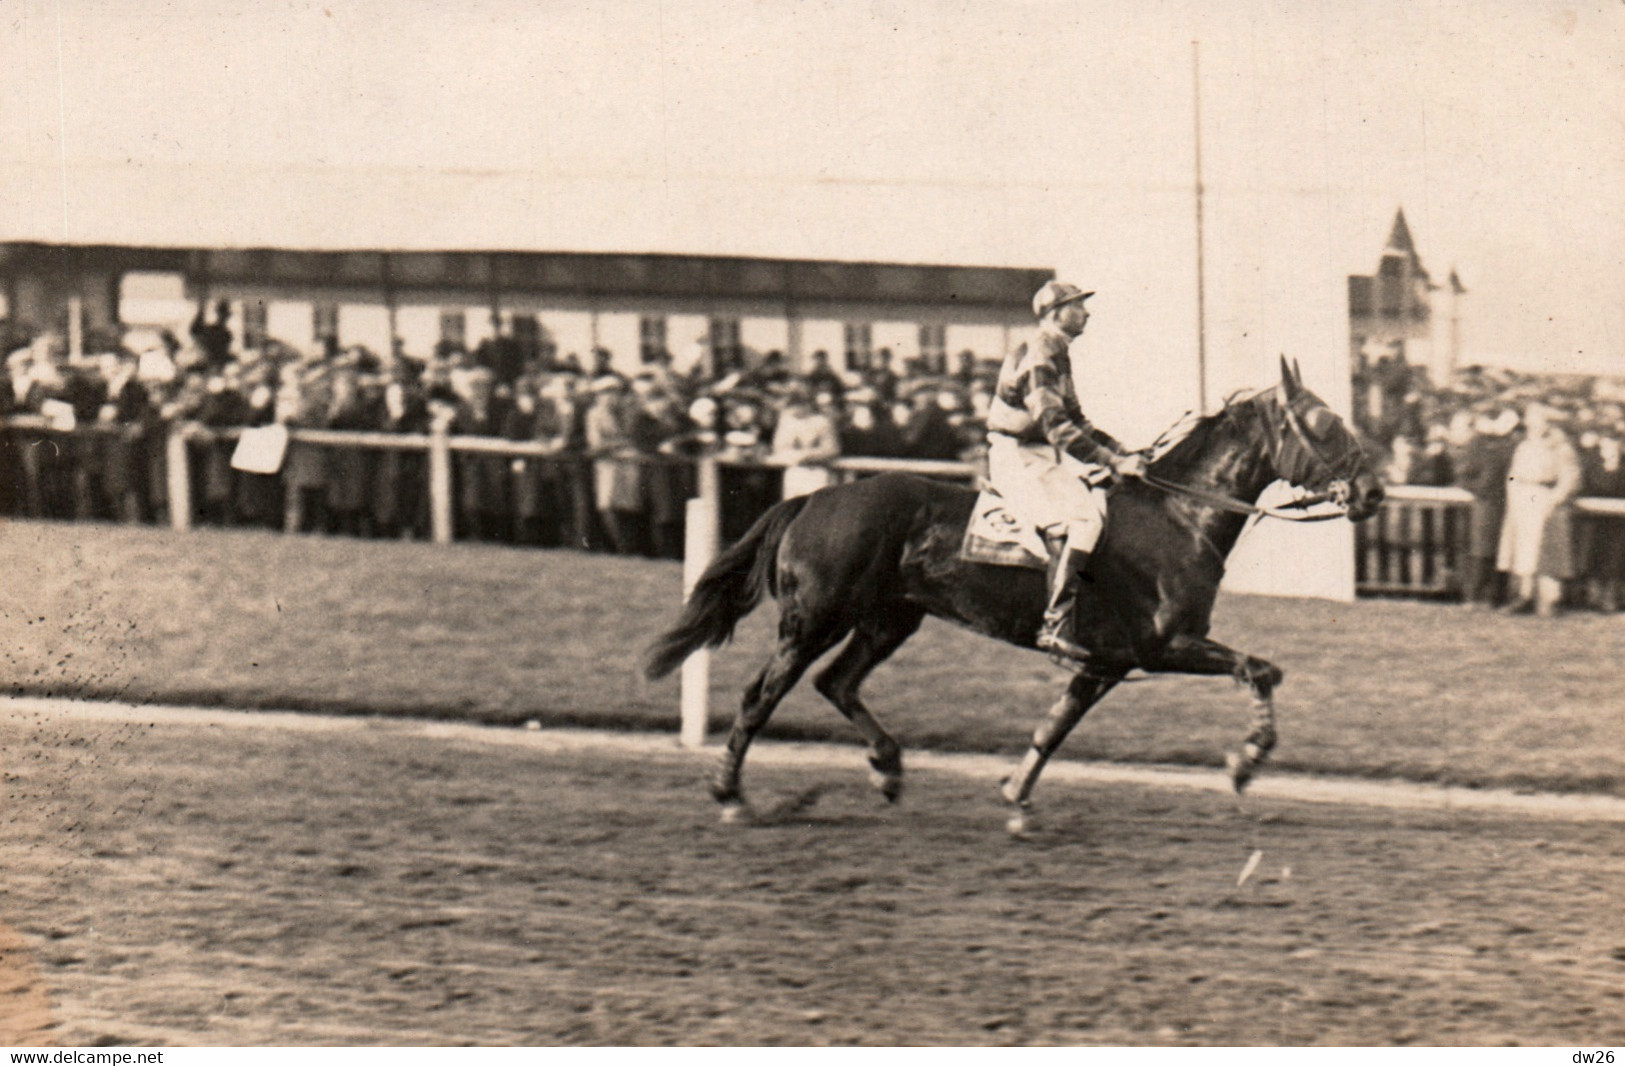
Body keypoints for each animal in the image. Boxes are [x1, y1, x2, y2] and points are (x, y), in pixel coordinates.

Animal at [643, 362, 1384, 838]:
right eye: (1323, 423)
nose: (1373, 492)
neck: (1177, 517)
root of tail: (812, 497)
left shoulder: (1104, 663)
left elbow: (1053, 728)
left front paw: (1016, 798)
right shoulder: (1163, 644)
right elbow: (1260, 669)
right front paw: (1245, 760)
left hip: (888, 620)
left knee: (837, 682)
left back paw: (887, 768)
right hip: (814, 620)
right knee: (760, 696)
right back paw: (731, 795)